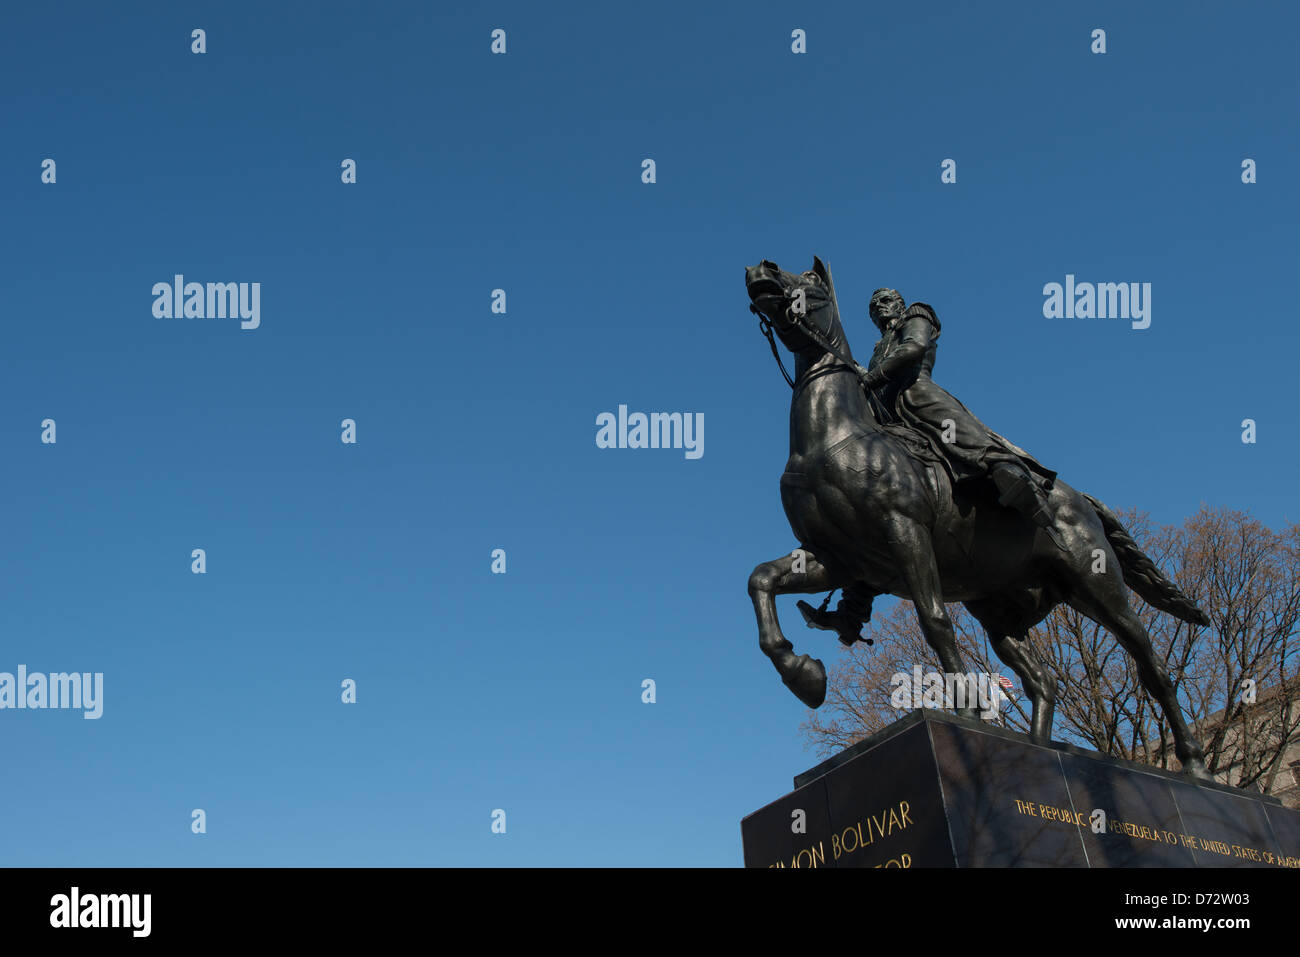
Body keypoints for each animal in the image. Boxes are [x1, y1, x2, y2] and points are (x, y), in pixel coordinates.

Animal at [748, 254, 1211, 780]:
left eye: (808, 280)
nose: (759, 269)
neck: (833, 438)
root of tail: (1081, 500)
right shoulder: (837, 559)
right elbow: (761, 580)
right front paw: (803, 674)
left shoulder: (905, 532)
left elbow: (934, 621)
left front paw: (965, 712)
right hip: (997, 610)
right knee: (1043, 681)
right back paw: (1037, 748)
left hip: (1098, 589)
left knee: (1152, 665)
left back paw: (1195, 764)